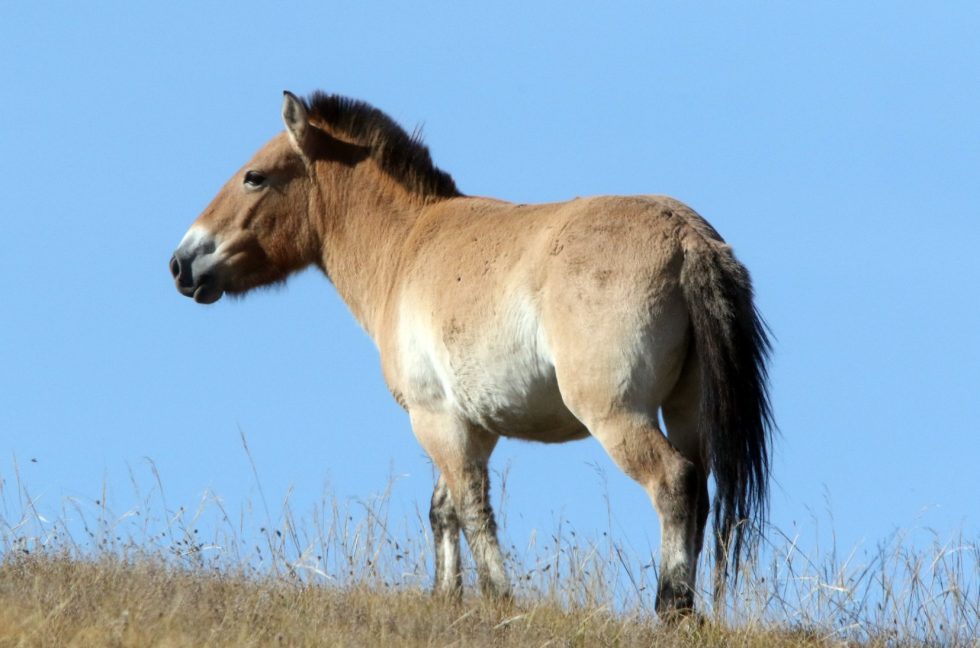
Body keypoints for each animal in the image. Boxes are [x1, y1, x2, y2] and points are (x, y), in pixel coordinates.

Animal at [169, 90, 773, 620]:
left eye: (254, 177)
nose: (181, 263)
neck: (407, 244)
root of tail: (689, 240)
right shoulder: (473, 424)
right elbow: (445, 511)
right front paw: (446, 596)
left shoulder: (436, 418)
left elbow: (472, 509)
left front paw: (498, 598)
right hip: (686, 411)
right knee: (700, 494)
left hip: (617, 417)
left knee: (674, 483)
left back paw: (672, 608)